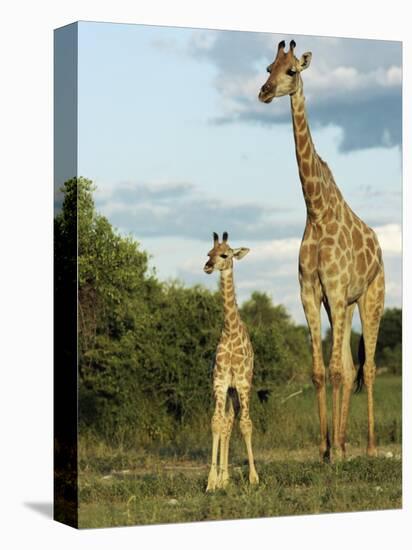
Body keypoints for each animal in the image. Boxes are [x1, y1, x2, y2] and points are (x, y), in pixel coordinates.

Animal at [260, 37, 384, 462]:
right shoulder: (310, 291)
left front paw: (336, 452)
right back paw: (344, 444)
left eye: (291, 71)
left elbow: (336, 371)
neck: (315, 210)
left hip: (370, 299)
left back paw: (368, 447)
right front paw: (325, 448)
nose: (263, 92)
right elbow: (319, 371)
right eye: (268, 68)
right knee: (347, 364)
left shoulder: (335, 286)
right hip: (341, 304)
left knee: (367, 368)